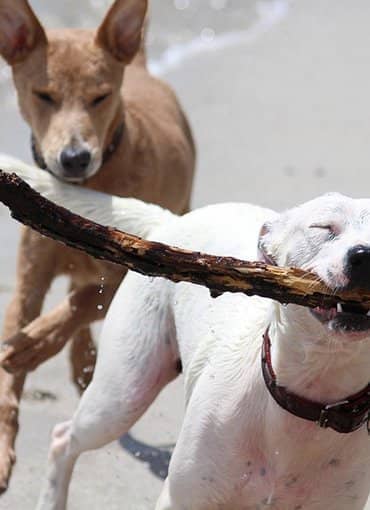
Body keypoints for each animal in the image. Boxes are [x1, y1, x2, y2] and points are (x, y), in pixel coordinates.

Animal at [0, 0, 197, 494]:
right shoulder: (29, 279)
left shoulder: (135, 265)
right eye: (43, 95)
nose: (74, 158)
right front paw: (2, 449)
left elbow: (83, 301)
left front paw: (37, 345)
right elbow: (11, 365)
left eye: (100, 97)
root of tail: (141, 66)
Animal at [0, 156, 370, 510]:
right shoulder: (180, 498)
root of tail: (171, 221)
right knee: (64, 438)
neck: (315, 392)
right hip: (120, 395)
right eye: (323, 227)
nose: (364, 256)